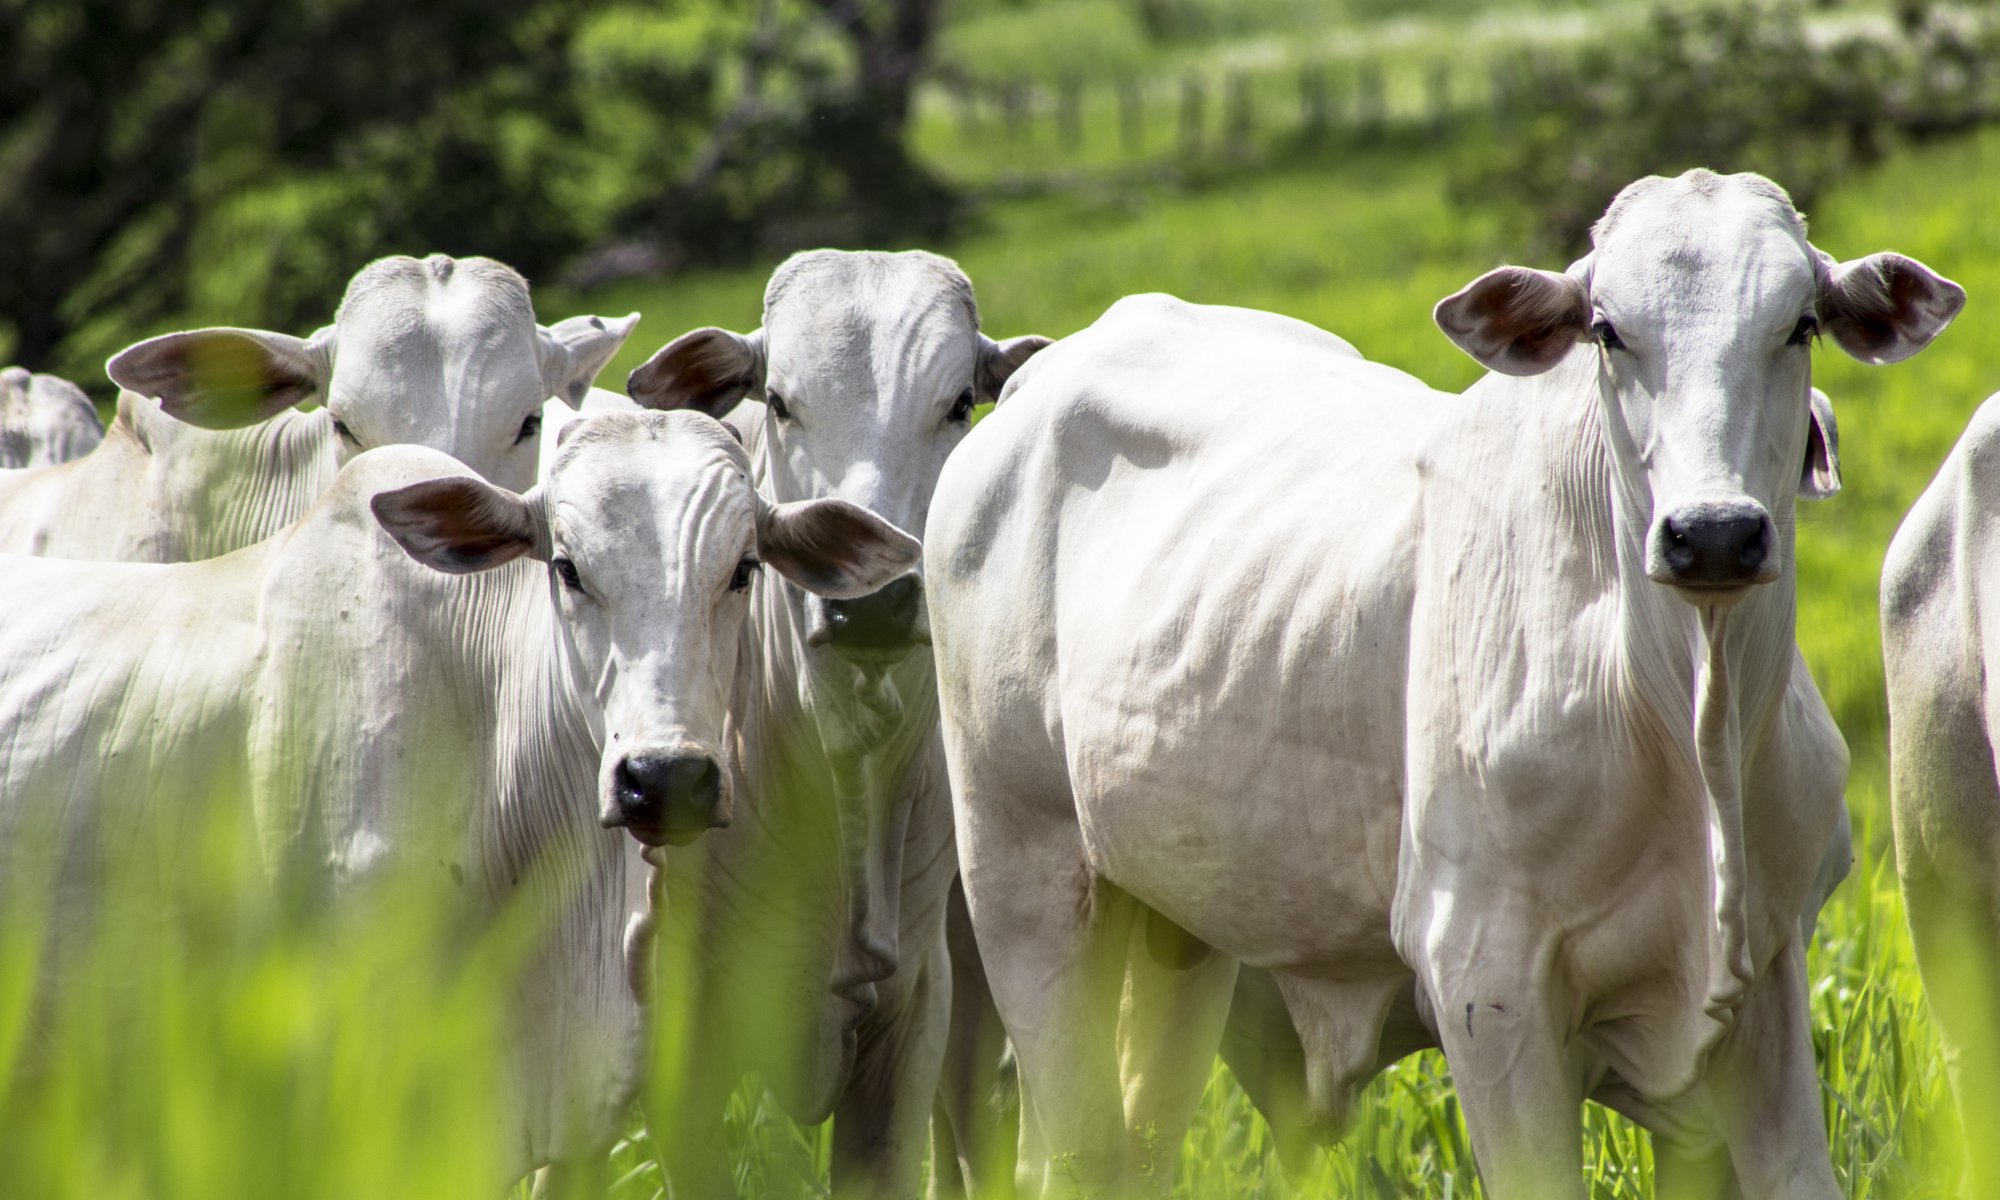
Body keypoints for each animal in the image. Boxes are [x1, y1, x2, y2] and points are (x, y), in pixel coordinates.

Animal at [928, 171, 1960, 1200]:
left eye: (1800, 324)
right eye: (1607, 330)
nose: (1712, 533)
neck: (1685, 721)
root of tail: (1039, 378)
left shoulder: (1770, 970)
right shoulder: (1486, 985)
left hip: (1176, 923)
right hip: (1023, 877)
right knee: (1071, 1144)